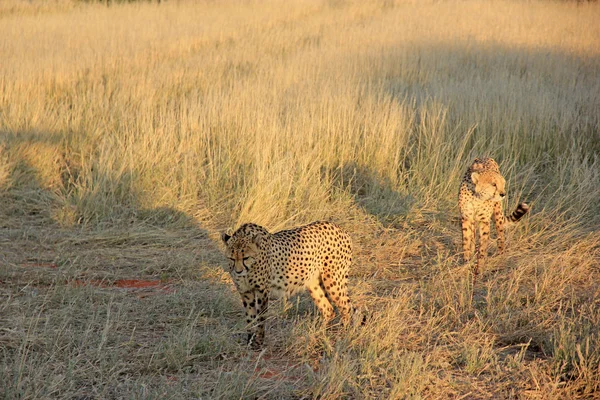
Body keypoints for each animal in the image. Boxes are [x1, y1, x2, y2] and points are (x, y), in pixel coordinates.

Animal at [221, 220, 356, 348]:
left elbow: (260, 318)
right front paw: (249, 341)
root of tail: (340, 228)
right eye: (232, 258)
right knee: (329, 310)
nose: (238, 271)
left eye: (246, 258)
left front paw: (258, 342)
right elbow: (250, 318)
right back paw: (317, 334)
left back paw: (343, 335)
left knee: (347, 309)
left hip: (333, 282)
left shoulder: (262, 291)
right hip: (314, 284)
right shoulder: (245, 292)